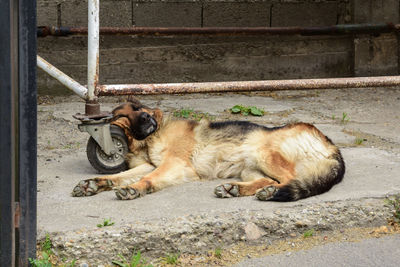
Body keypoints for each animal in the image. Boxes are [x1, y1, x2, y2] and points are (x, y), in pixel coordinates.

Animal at [71, 98, 344, 201]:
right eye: (122, 116)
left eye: (138, 108)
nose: (148, 118)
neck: (148, 139)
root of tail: (331, 145)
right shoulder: (151, 164)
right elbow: (118, 176)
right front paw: (96, 184)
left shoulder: (173, 165)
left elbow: (147, 178)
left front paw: (134, 189)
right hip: (250, 167)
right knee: (268, 180)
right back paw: (235, 189)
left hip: (262, 151)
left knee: (290, 179)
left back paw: (268, 192)